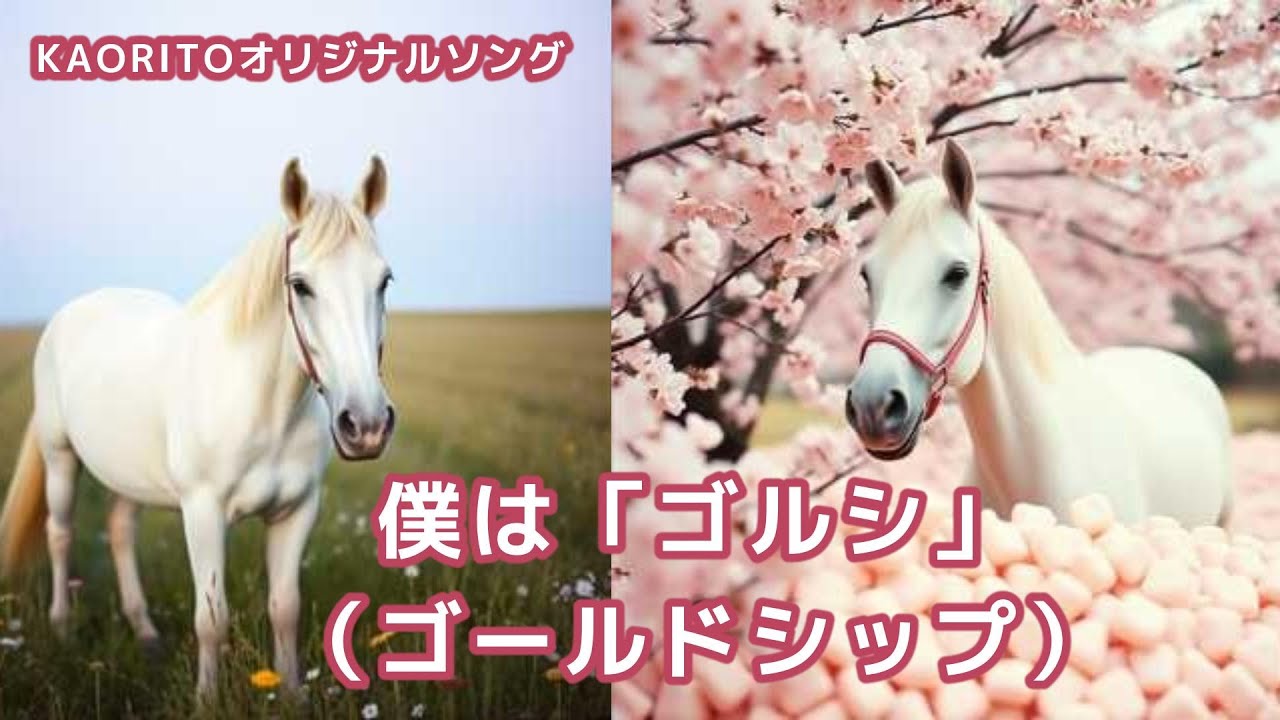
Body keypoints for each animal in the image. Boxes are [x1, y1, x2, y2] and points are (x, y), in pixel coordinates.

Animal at [0, 156, 397, 699]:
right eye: (300, 285)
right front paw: (207, 699)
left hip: (129, 473)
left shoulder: (297, 511)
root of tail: (70, 313)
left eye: (385, 281)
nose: (367, 424)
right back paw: (62, 627)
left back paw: (145, 633)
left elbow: (285, 609)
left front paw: (293, 694)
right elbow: (212, 619)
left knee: (120, 531)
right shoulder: (203, 512)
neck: (262, 405)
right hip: (59, 456)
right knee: (58, 533)